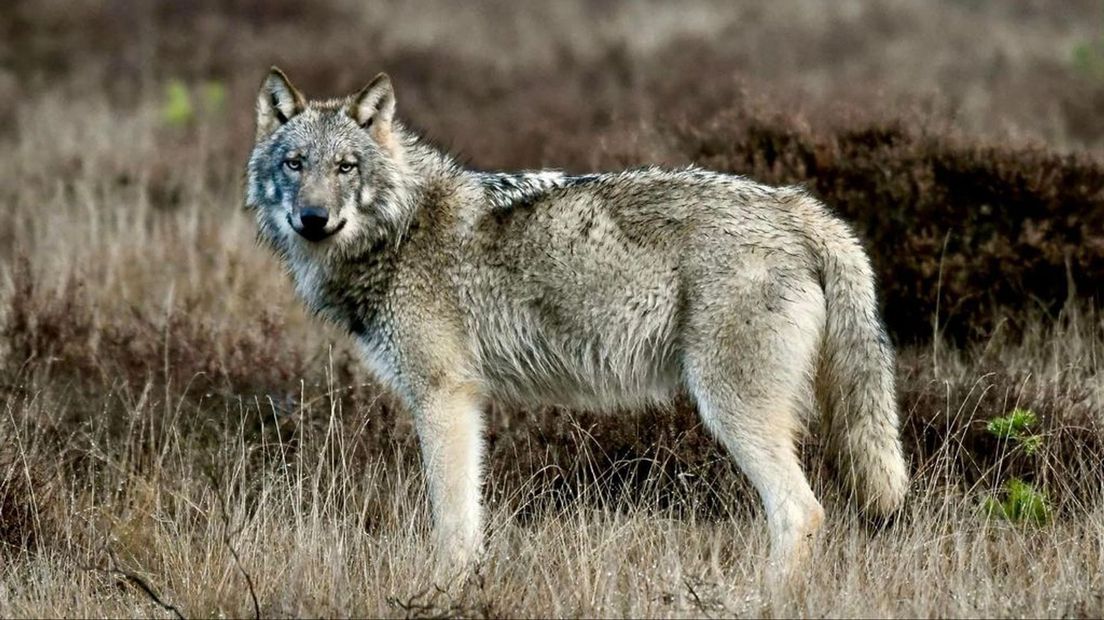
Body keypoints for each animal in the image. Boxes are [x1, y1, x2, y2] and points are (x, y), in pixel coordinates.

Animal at [246, 67, 909, 573]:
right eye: (295, 164)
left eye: (346, 167)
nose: (312, 218)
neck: (400, 227)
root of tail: (800, 207)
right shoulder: (467, 403)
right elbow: (470, 520)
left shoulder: (443, 398)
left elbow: (453, 527)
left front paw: (444, 590)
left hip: (731, 410)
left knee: (802, 513)